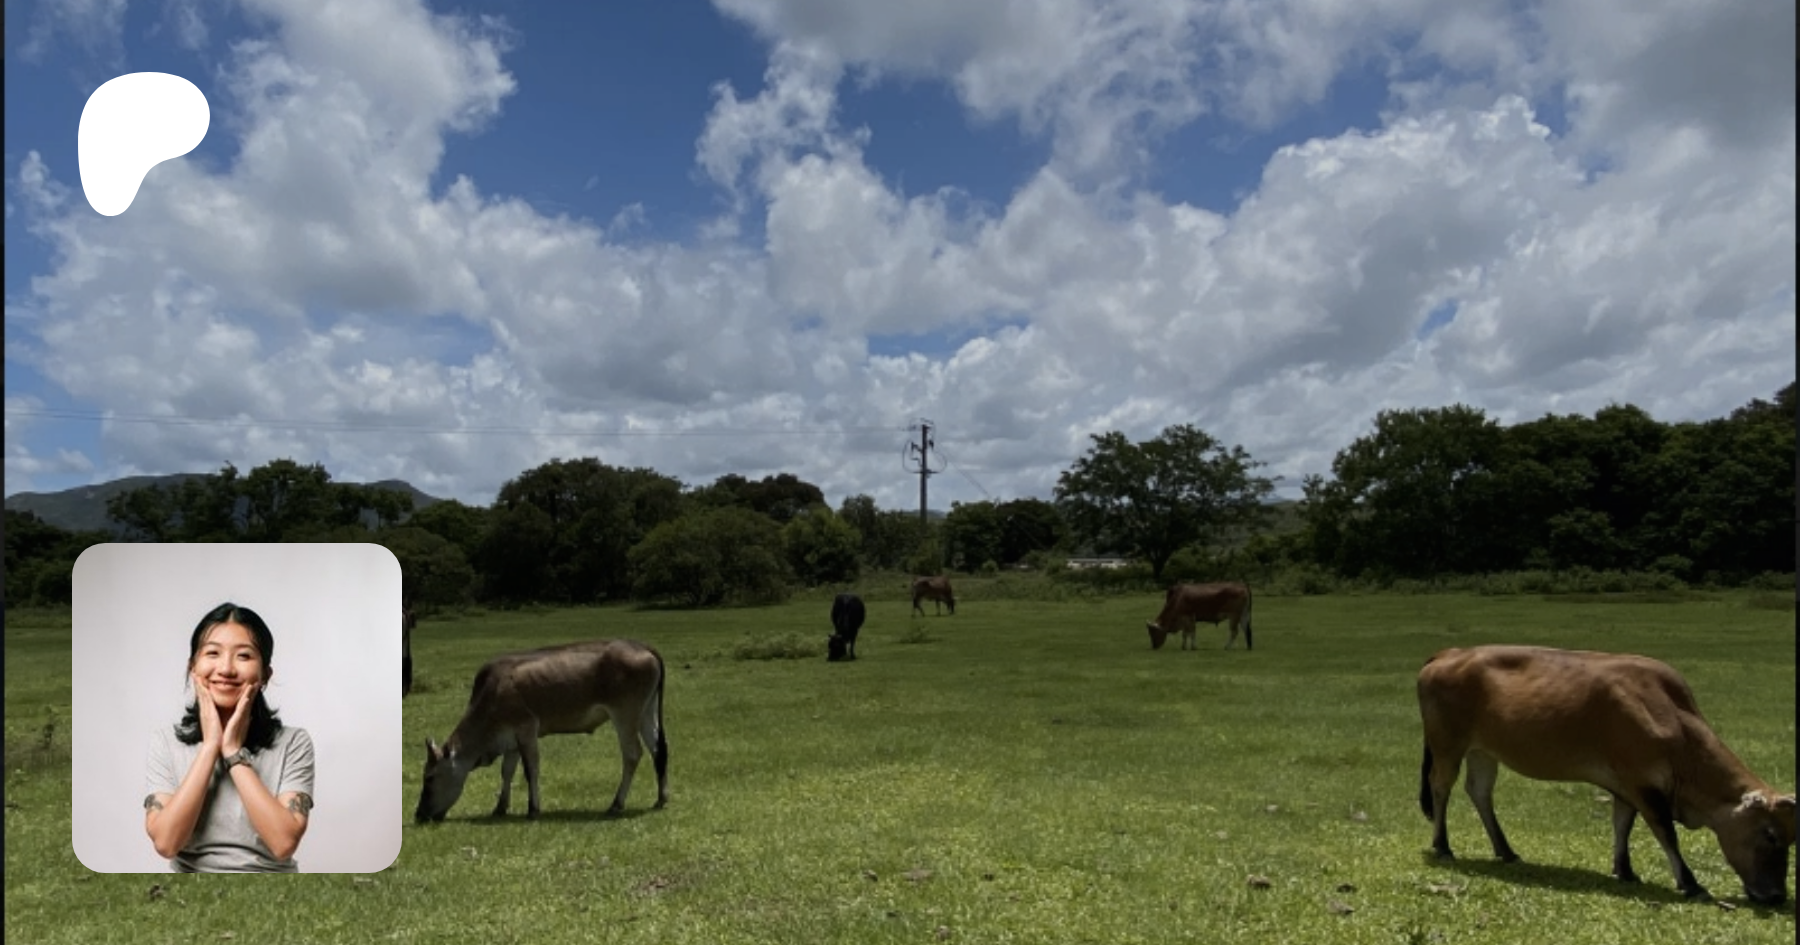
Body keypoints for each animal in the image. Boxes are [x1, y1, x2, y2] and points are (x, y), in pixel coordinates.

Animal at [414, 638, 669, 823]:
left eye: (429, 777)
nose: (419, 815)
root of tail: (640, 645)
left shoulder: (526, 728)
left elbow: (531, 770)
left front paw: (533, 809)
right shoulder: (511, 739)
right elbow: (506, 771)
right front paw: (500, 807)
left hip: (625, 714)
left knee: (633, 754)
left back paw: (616, 804)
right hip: (646, 711)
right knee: (658, 749)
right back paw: (661, 799)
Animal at [1417, 645, 1796, 905]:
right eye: (1770, 834)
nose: (1777, 895)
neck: (1675, 719)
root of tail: (1450, 653)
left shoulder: (1626, 785)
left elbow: (1622, 824)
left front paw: (1624, 870)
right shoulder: (1644, 784)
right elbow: (1666, 833)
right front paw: (1690, 882)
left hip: (1484, 751)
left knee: (1479, 791)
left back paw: (1505, 850)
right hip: (1448, 745)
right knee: (1441, 787)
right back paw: (1443, 846)